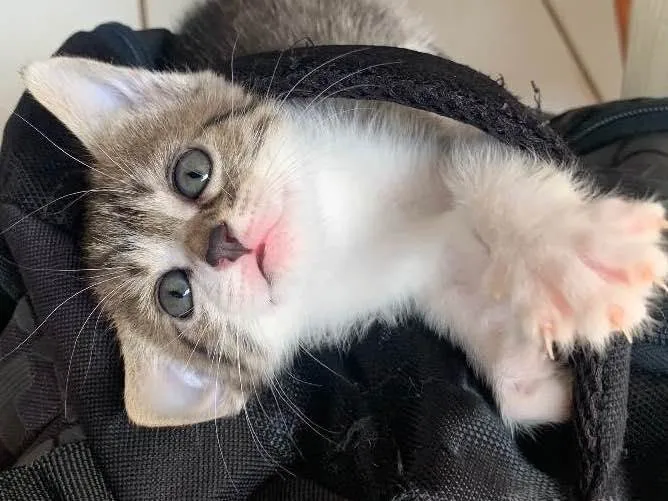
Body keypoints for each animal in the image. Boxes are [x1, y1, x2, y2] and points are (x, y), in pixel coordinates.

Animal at [21, 0, 667, 428]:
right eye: (175, 295)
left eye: (191, 172)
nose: (221, 244)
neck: (345, 229)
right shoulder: (424, 280)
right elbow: (495, 356)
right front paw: (532, 372)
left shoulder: (436, 124)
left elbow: (475, 170)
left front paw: (571, 255)